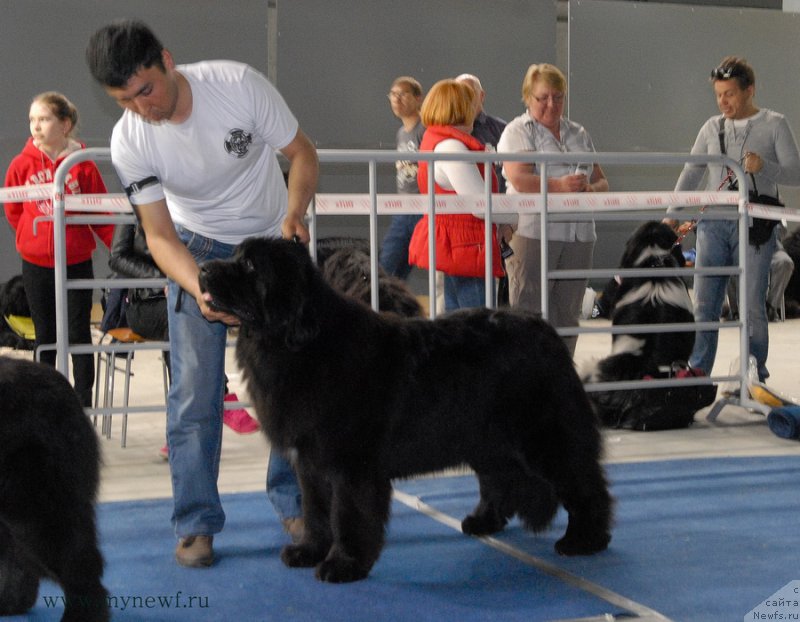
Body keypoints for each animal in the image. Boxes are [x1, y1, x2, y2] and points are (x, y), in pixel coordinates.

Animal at [198, 238, 612, 584]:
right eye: (237, 255)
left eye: (250, 265)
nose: (202, 269)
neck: (298, 341)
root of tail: (547, 330)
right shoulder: (310, 463)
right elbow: (315, 512)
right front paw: (309, 551)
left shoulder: (351, 465)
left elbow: (347, 515)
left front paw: (343, 564)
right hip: (487, 440)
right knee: (498, 481)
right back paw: (482, 522)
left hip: (546, 438)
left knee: (585, 484)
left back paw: (584, 539)